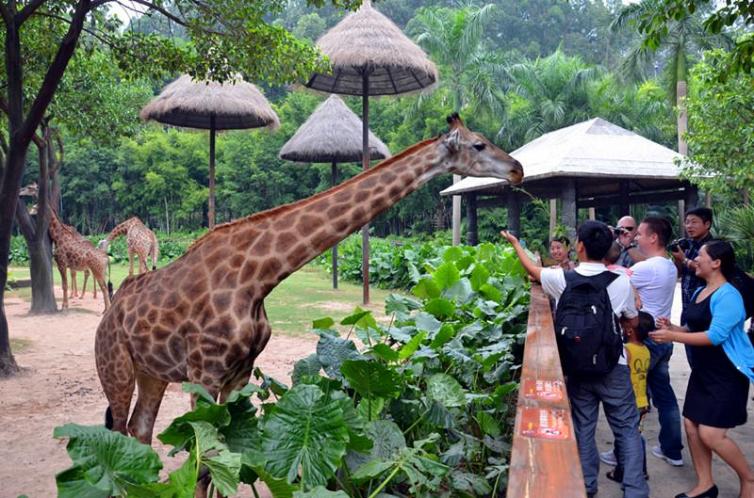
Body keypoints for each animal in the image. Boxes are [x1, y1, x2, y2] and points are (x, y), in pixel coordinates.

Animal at [95, 115, 524, 448]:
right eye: (479, 144)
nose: (517, 169)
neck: (259, 277)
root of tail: (109, 316)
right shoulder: (204, 374)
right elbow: (204, 458)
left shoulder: (239, 373)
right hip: (115, 368)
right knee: (118, 432)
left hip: (152, 373)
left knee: (140, 431)